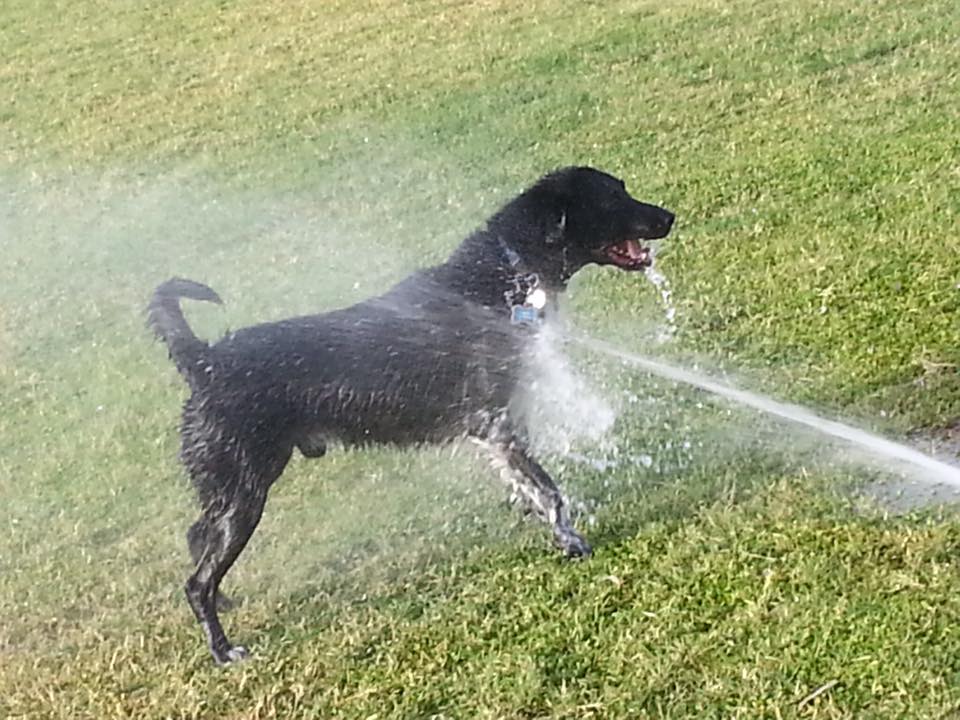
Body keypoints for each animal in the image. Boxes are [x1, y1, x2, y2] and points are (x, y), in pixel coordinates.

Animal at [150, 167, 676, 664]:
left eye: (623, 188)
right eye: (612, 198)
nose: (668, 216)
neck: (501, 276)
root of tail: (204, 361)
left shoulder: (500, 429)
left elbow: (531, 486)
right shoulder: (494, 423)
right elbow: (549, 489)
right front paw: (572, 542)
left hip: (229, 491)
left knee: (197, 538)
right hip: (242, 494)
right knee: (196, 582)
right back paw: (223, 651)